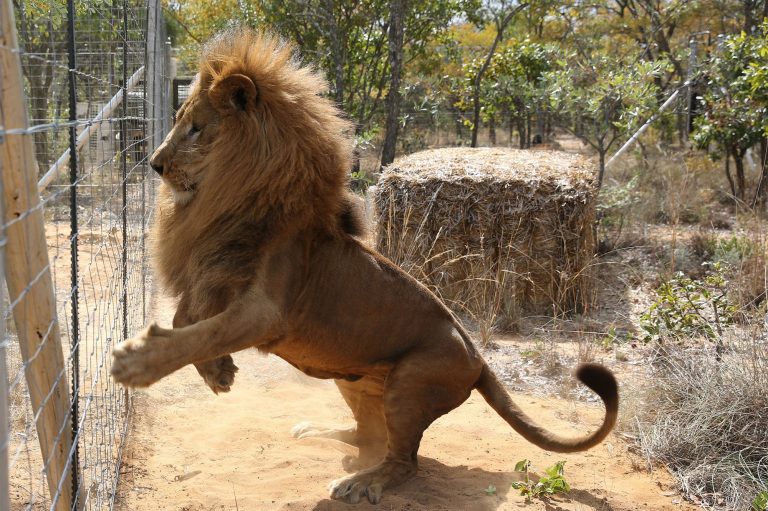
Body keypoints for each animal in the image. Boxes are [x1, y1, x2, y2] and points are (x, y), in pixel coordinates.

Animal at [111, 28, 619, 505]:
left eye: (196, 128)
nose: (154, 164)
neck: (227, 200)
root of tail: (479, 358)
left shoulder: (265, 311)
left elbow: (201, 333)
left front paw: (138, 362)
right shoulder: (215, 274)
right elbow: (187, 322)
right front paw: (218, 372)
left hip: (411, 384)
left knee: (404, 461)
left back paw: (360, 483)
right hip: (351, 381)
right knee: (365, 436)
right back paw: (315, 433)